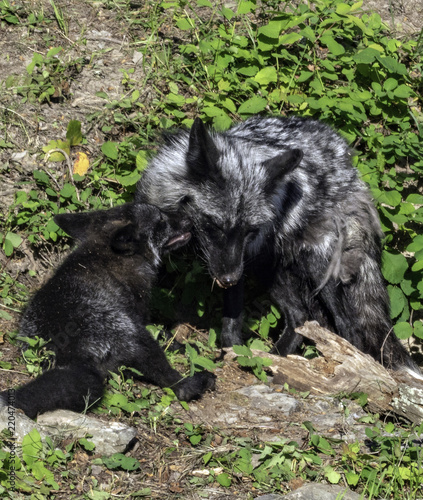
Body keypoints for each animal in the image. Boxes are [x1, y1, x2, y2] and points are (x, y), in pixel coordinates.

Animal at [137, 116, 420, 376]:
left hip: (317, 269)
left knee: (348, 327)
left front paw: (233, 355)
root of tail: (349, 167)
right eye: (215, 226)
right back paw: (275, 360)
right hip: (270, 273)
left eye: (249, 231)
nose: (228, 279)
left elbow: (231, 323)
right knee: (301, 318)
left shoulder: (241, 259)